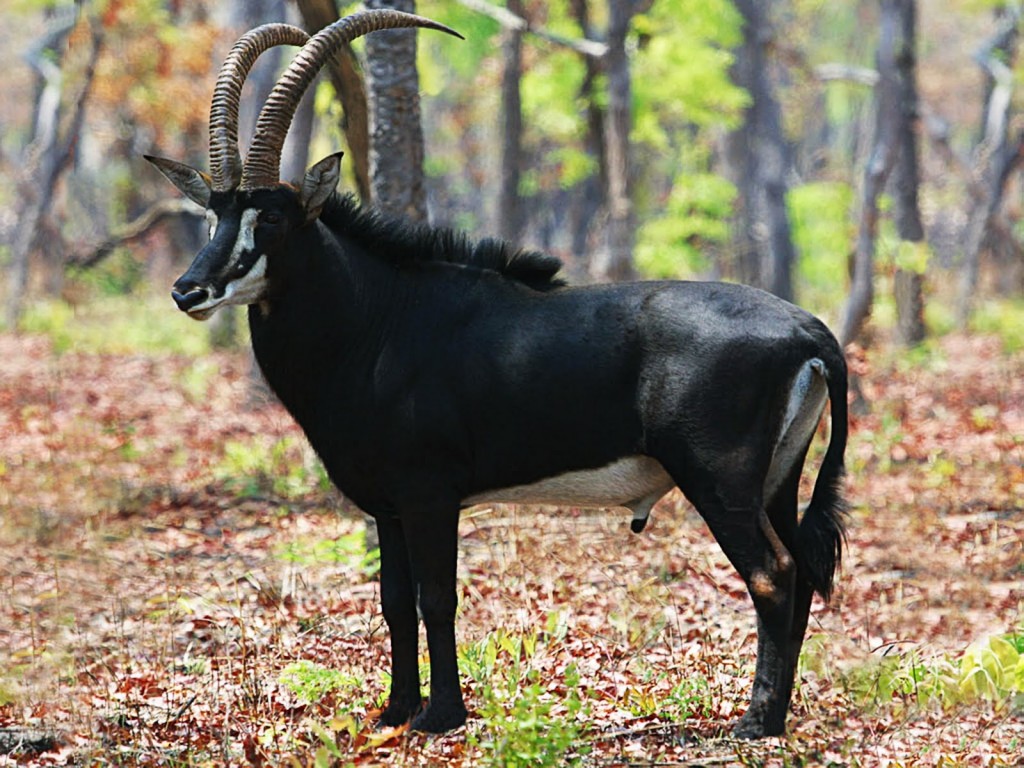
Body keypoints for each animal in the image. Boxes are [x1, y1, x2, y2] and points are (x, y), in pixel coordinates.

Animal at [146, 7, 847, 741]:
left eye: (274, 216)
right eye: (215, 212)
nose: (190, 291)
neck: (377, 319)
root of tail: (809, 331)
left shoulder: (430, 493)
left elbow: (436, 597)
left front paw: (442, 715)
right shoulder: (388, 505)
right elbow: (392, 601)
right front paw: (396, 711)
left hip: (720, 481)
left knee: (772, 574)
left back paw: (756, 721)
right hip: (777, 482)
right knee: (801, 572)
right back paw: (777, 715)